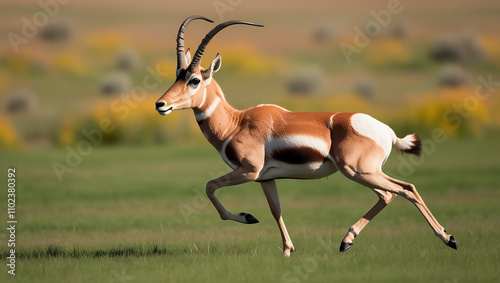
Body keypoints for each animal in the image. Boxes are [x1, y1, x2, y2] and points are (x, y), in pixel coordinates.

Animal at [155, 15, 458, 258]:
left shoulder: (248, 172)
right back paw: (346, 242)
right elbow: (276, 210)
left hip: (359, 171)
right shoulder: (266, 179)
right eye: (177, 75)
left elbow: (209, 187)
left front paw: (248, 217)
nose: (161, 104)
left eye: (195, 80)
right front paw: (286, 250)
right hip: (364, 173)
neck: (236, 123)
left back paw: (448, 239)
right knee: (389, 195)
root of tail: (387, 131)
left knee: (405, 189)